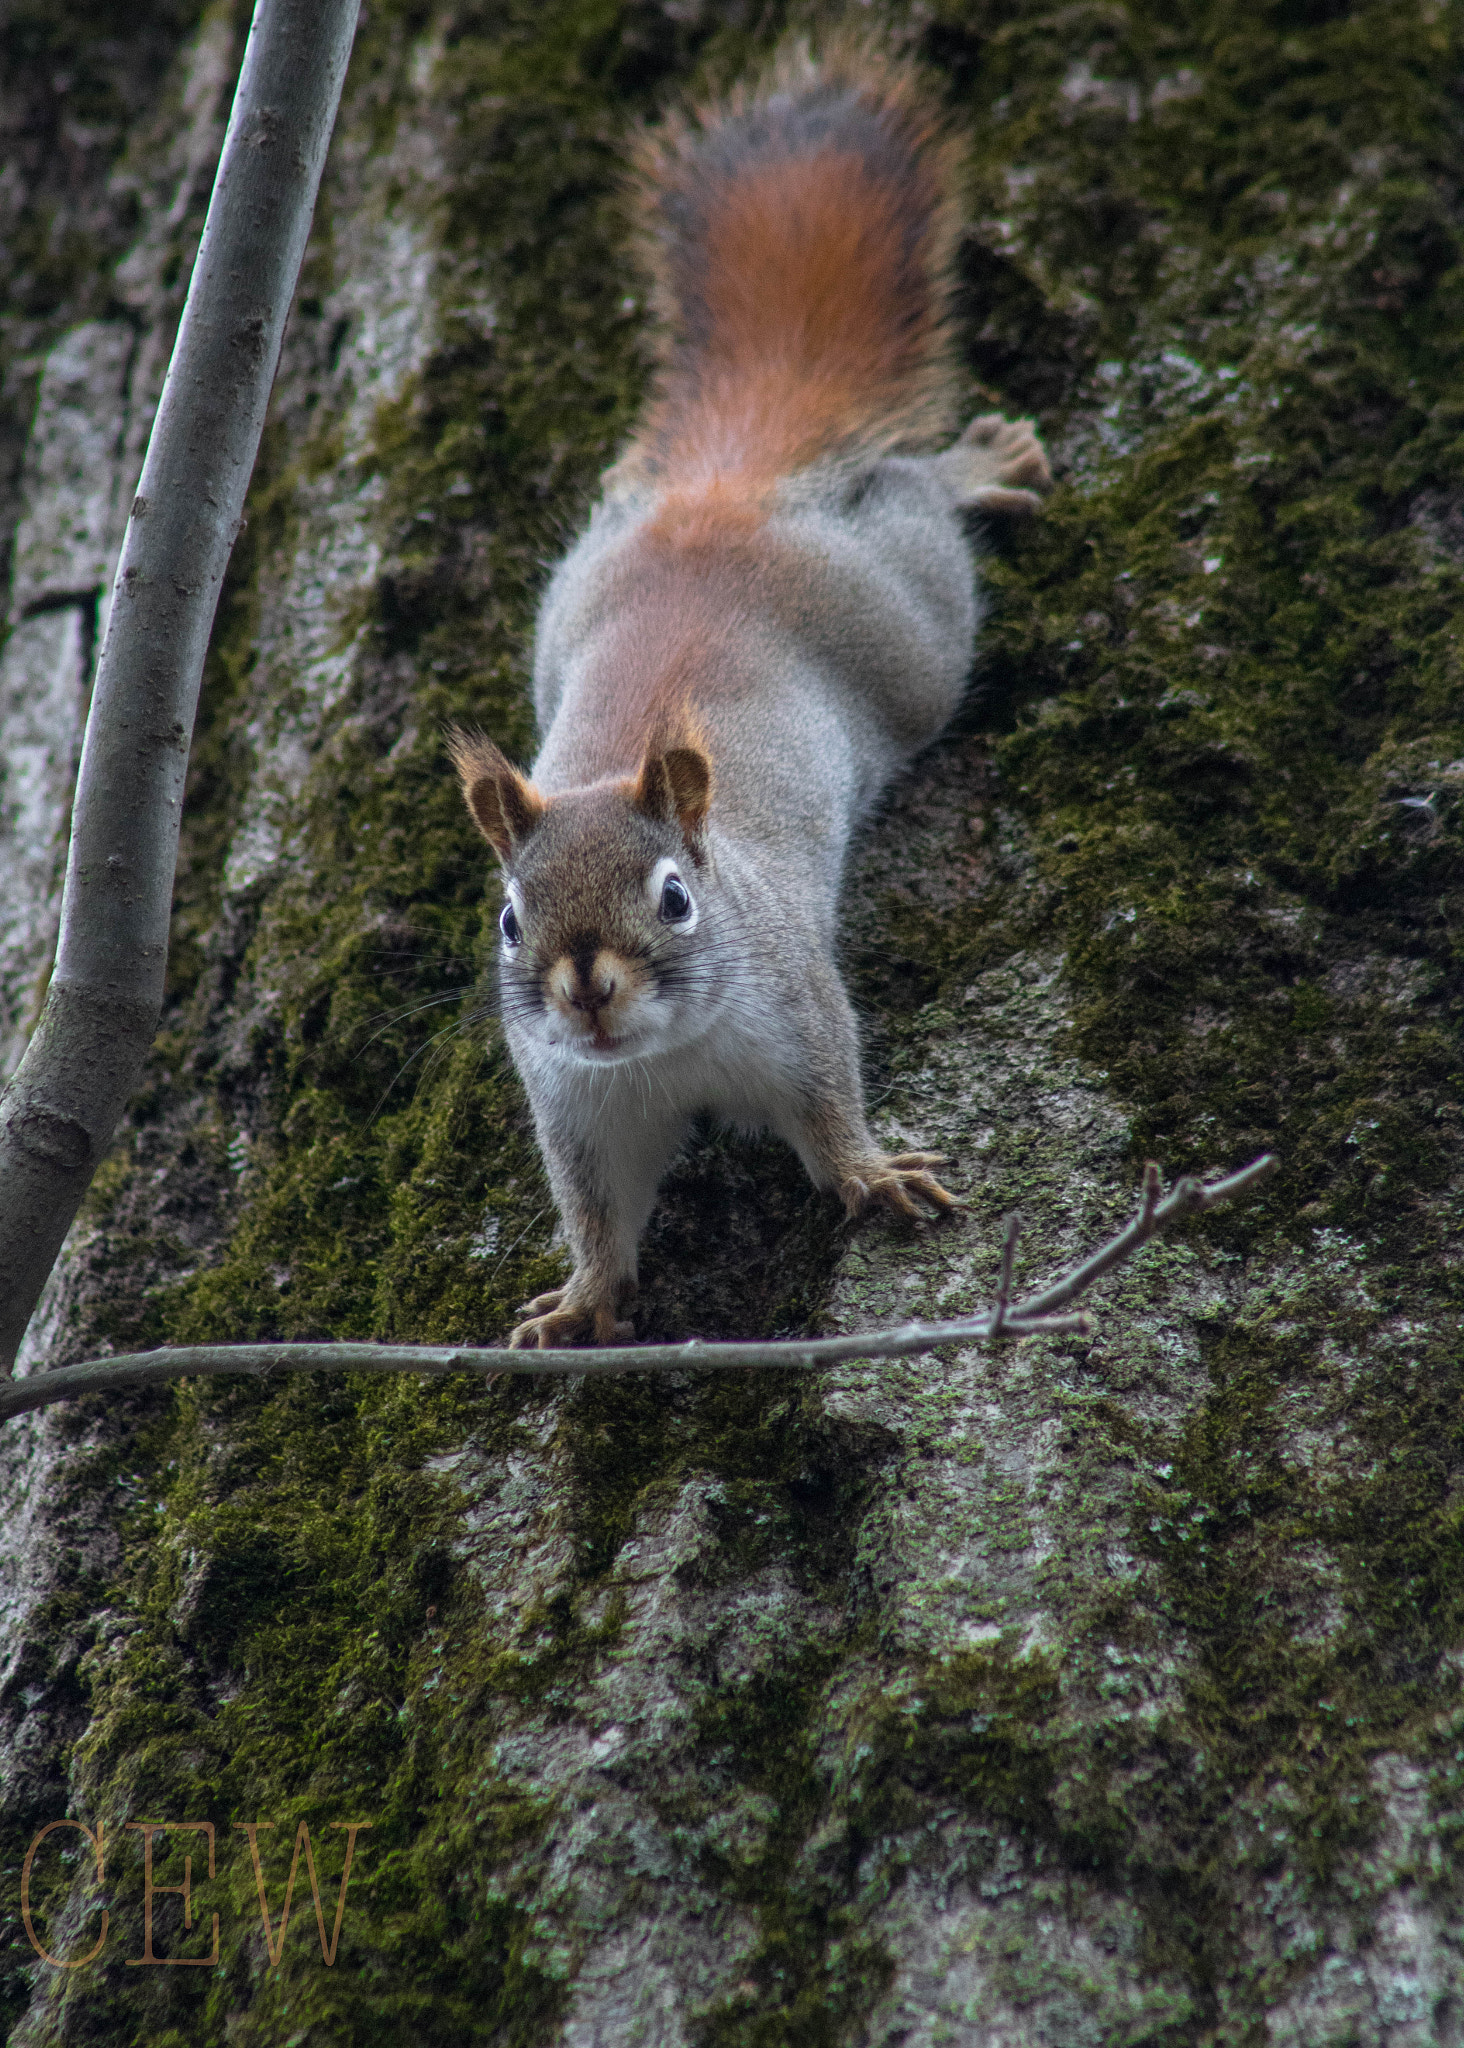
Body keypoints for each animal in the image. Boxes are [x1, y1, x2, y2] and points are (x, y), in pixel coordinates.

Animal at [452, 39, 1048, 1351]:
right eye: (510, 918)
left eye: (677, 896)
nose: (587, 991)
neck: (660, 1056)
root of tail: (719, 505)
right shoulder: (577, 1106)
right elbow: (599, 1213)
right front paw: (583, 1300)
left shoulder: (798, 1005)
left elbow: (827, 1108)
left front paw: (872, 1175)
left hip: (911, 627)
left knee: (918, 505)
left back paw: (974, 465)